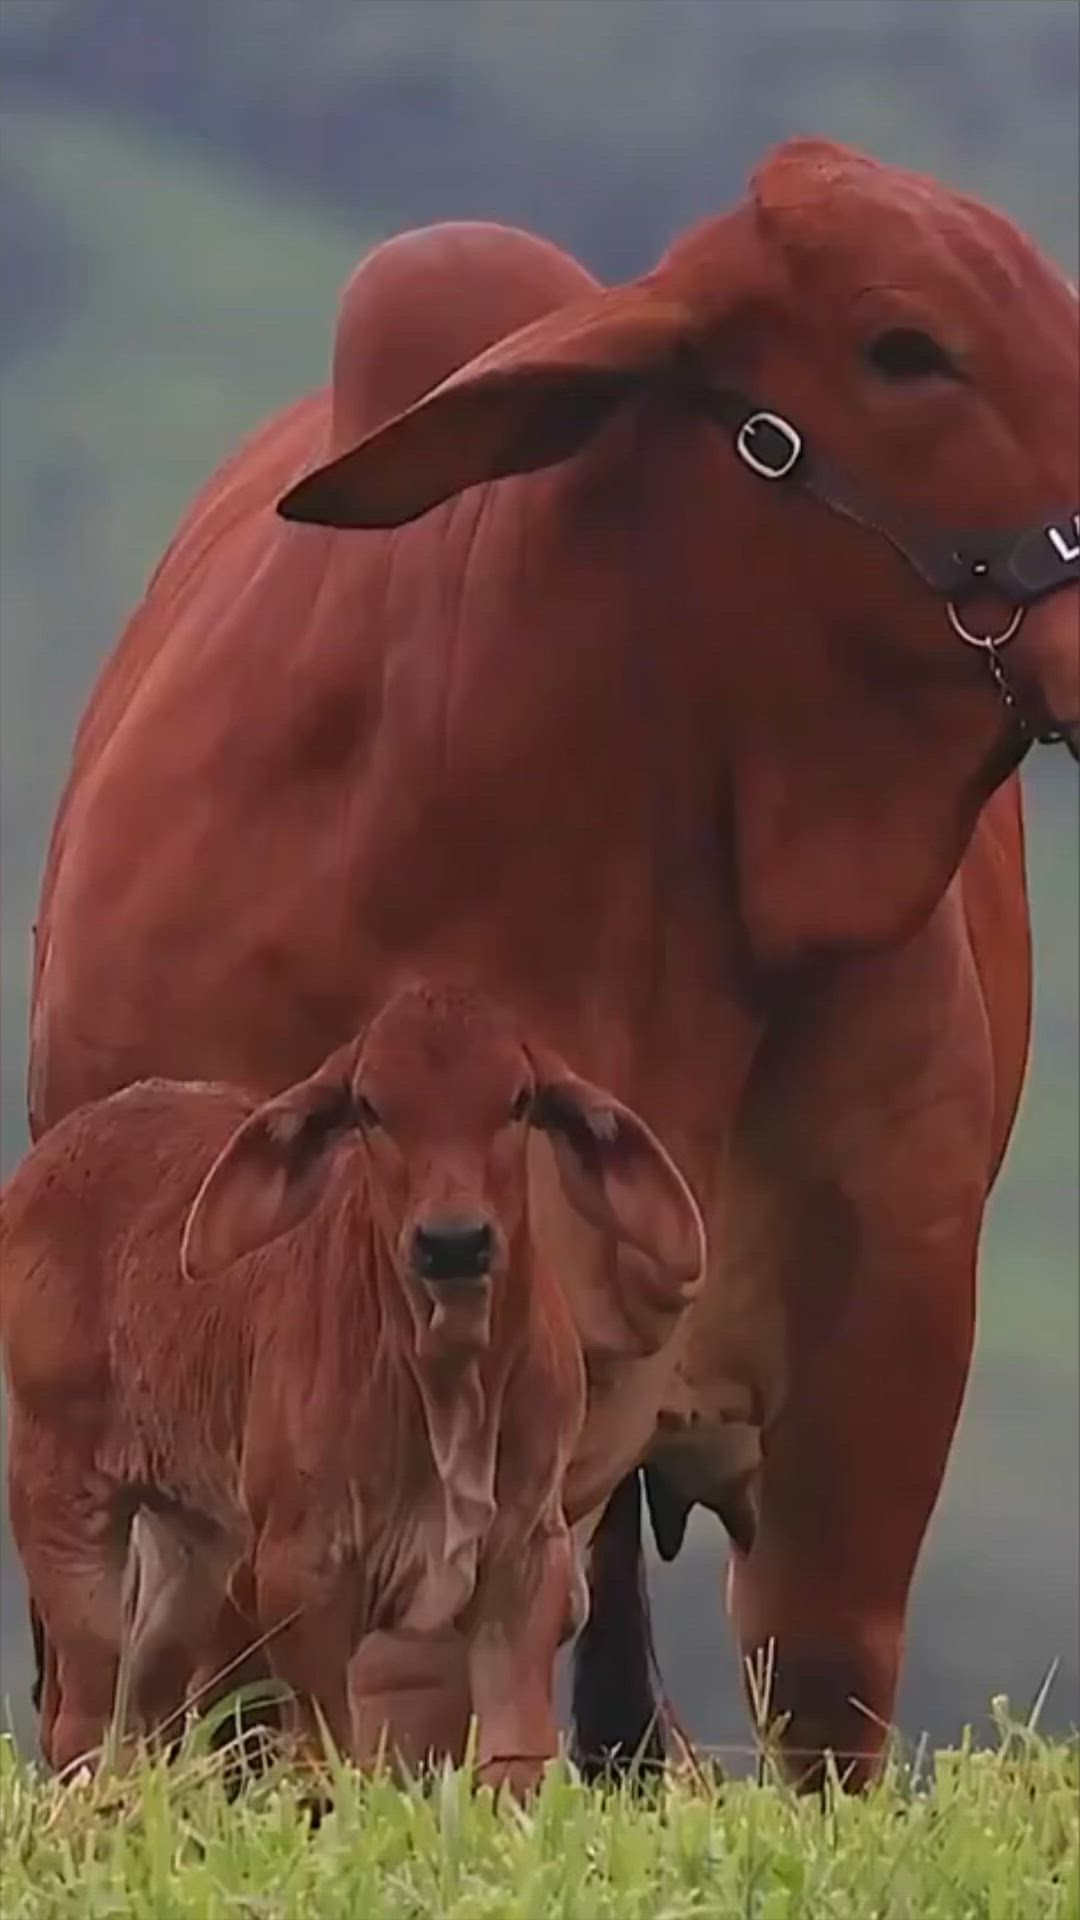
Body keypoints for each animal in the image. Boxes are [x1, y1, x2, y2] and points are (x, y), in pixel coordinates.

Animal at [1, 982, 705, 1788]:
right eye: (369, 1106)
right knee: (85, 1721)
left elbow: (514, 1755)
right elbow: (326, 1754)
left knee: (149, 1703)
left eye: (520, 1099)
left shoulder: (528, 1561)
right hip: (60, 1502)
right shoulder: (298, 1573)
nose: (453, 1243)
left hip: (192, 1540)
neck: (449, 1383)